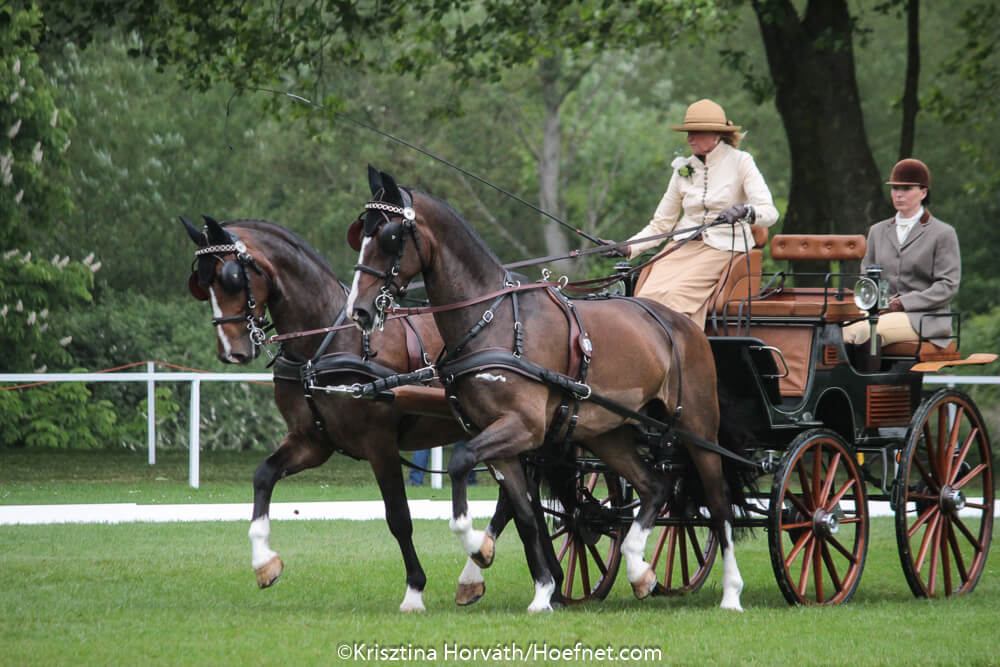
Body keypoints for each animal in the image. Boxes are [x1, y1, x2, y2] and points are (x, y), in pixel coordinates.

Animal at [180, 217, 472, 612]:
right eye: (200, 282)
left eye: (231, 277)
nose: (231, 351)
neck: (325, 345)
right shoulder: (312, 441)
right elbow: (263, 475)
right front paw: (264, 562)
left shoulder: (380, 443)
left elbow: (398, 516)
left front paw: (414, 589)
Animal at [348, 166, 748, 612]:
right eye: (361, 232)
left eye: (389, 236)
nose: (359, 311)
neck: (492, 320)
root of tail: (682, 323)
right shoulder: (501, 439)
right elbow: (525, 516)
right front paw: (541, 590)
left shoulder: (522, 427)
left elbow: (461, 465)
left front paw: (477, 548)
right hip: (609, 432)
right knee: (655, 487)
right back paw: (638, 568)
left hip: (697, 427)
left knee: (719, 505)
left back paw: (731, 592)